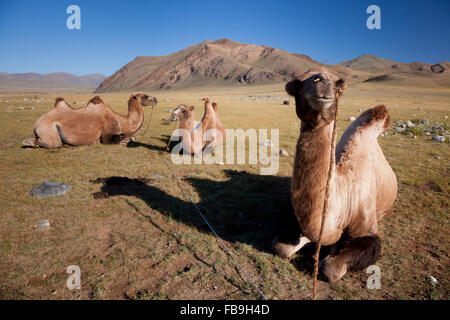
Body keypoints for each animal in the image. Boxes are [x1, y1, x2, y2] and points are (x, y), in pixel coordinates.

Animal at [24, 92, 158, 148]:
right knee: (54, 144)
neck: (123, 121)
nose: (156, 99)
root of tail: (36, 124)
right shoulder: (108, 135)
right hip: (48, 130)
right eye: (145, 96)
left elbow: (132, 138)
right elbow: (123, 141)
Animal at [270, 68, 398, 282]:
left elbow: (331, 268)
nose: (320, 80)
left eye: (338, 85)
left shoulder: (367, 226)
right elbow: (282, 247)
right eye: (297, 84)